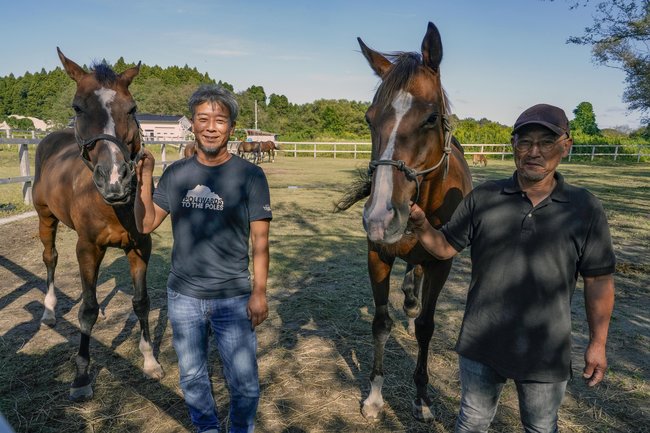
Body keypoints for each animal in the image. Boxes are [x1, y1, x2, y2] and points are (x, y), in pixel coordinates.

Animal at [32, 48, 164, 401]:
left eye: (132, 108)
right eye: (78, 107)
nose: (115, 179)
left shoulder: (139, 247)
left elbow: (141, 302)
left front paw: (149, 361)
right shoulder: (88, 248)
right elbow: (87, 311)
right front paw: (81, 377)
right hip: (45, 218)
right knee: (50, 259)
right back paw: (49, 312)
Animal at [335, 22, 473, 421]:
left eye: (430, 118)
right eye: (369, 118)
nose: (380, 216)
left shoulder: (442, 262)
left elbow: (426, 327)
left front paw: (422, 397)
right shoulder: (378, 254)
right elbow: (381, 323)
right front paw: (374, 397)